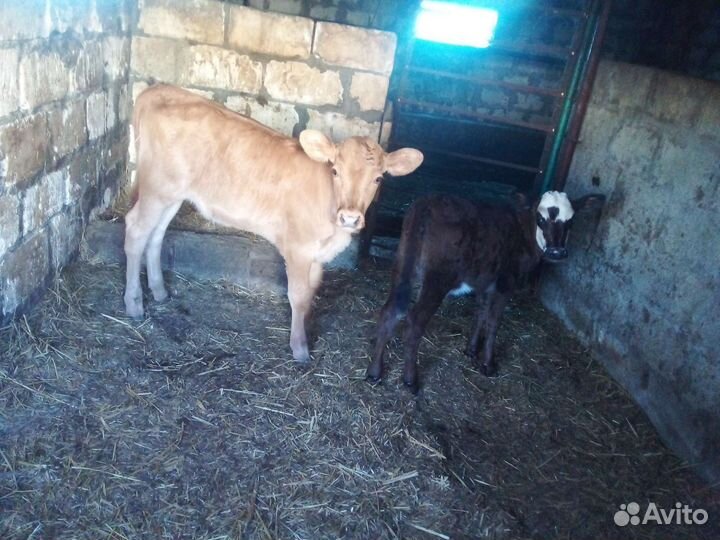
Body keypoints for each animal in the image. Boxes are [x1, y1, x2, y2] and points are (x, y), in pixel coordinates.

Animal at [124, 85, 423, 363]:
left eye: (379, 178)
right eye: (335, 170)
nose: (349, 217)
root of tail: (160, 89)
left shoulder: (317, 255)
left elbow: (310, 294)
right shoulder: (299, 248)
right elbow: (298, 295)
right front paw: (300, 349)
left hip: (172, 195)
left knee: (156, 234)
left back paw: (160, 291)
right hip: (157, 187)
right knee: (136, 230)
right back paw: (134, 303)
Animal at [366, 191, 604, 392]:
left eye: (571, 221)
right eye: (541, 219)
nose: (556, 252)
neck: (522, 232)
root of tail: (427, 203)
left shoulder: (484, 282)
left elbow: (480, 314)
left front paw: (471, 350)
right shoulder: (505, 283)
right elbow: (493, 323)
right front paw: (488, 364)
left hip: (403, 266)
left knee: (389, 312)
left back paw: (374, 372)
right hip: (437, 280)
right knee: (415, 321)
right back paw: (410, 380)